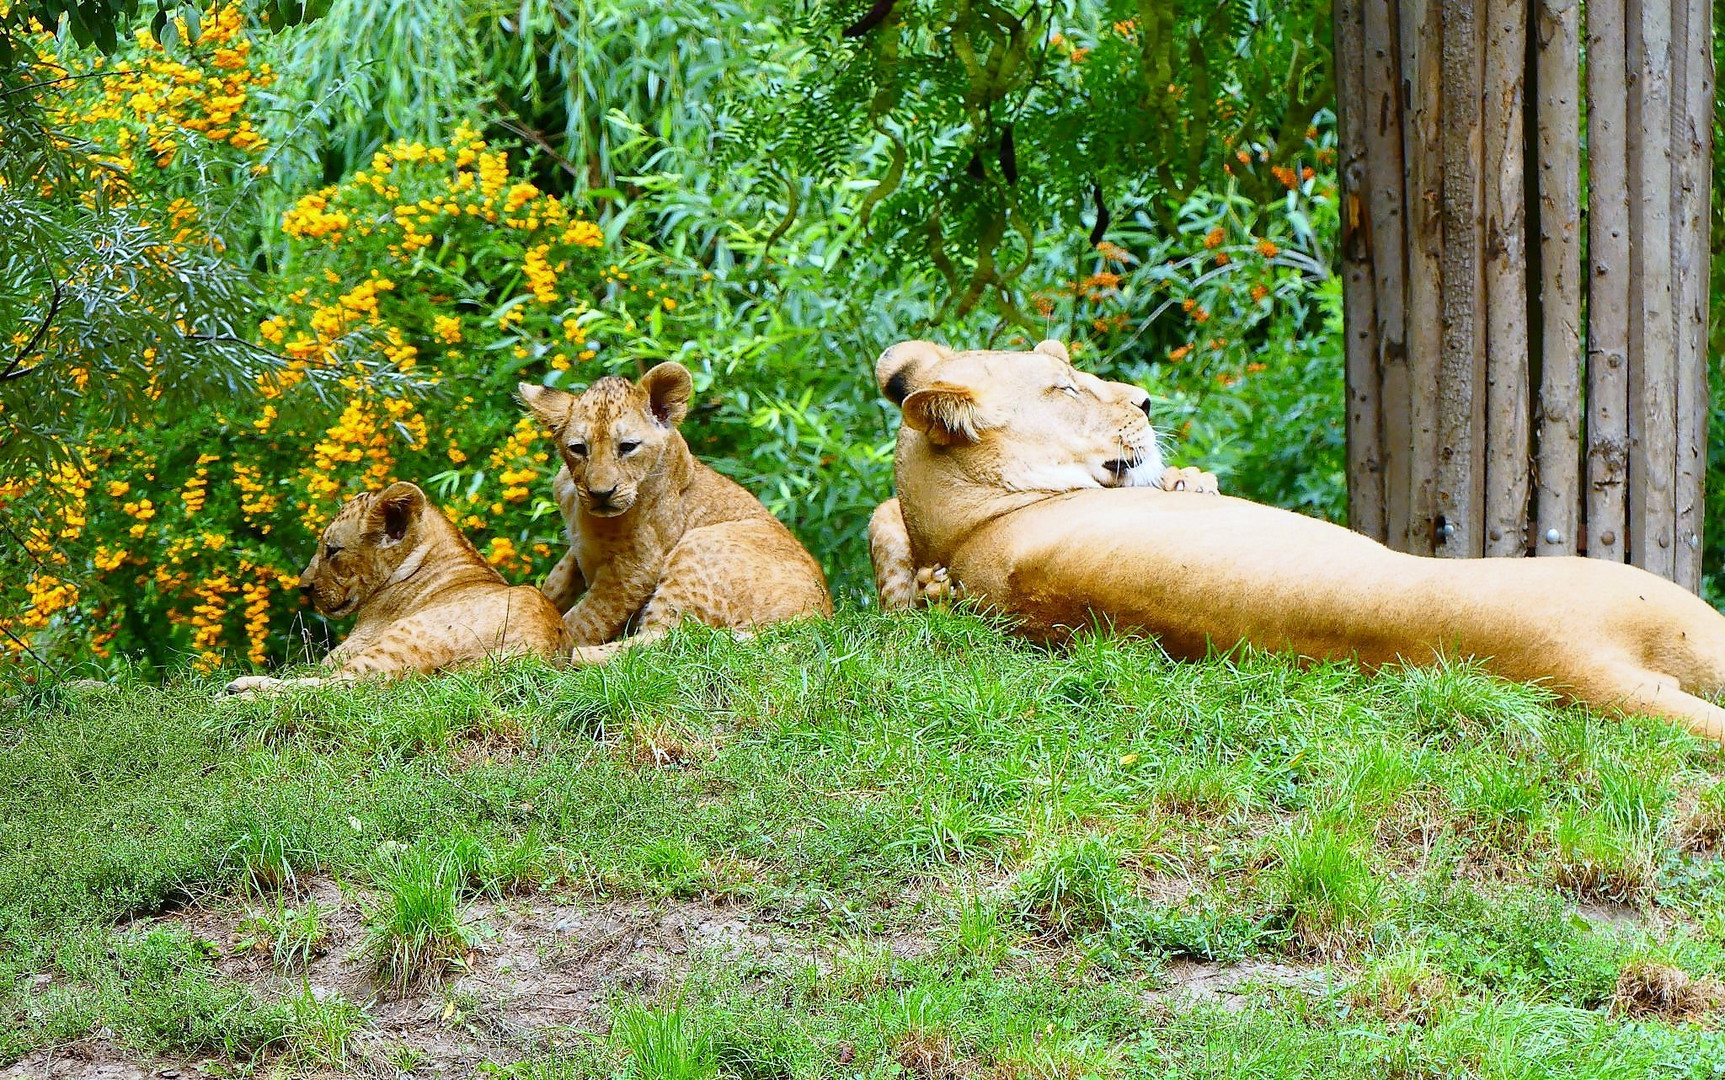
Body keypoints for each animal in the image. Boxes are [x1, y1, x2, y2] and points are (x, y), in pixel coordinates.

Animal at [224, 476, 565, 690]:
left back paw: (239, 691)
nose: (303, 587)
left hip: (397, 641)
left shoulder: (347, 650)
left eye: (332, 549)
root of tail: (531, 651)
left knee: (333, 688)